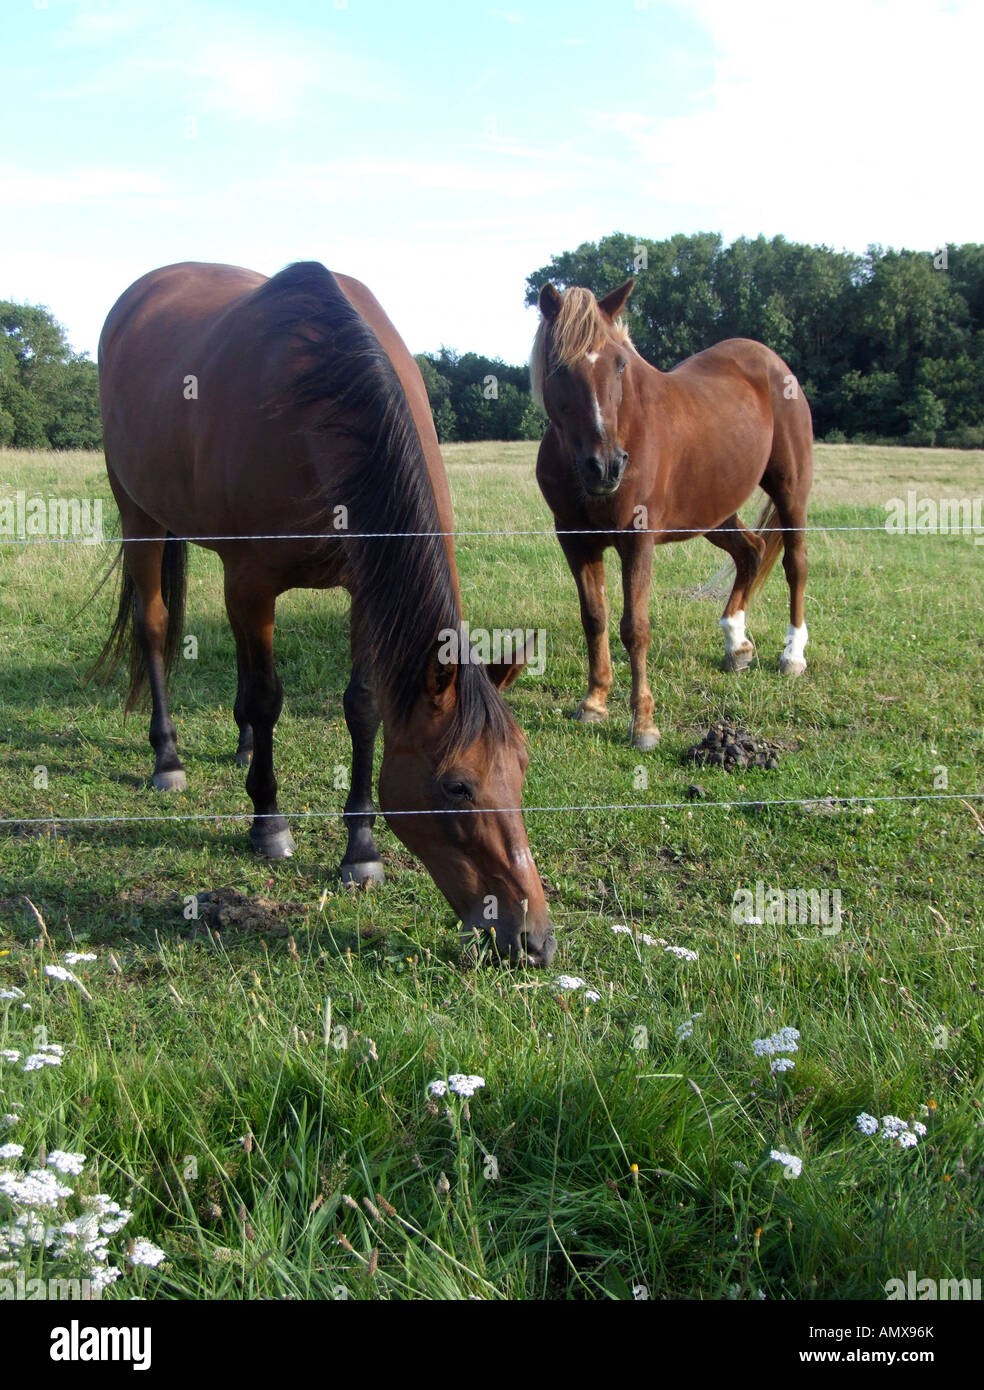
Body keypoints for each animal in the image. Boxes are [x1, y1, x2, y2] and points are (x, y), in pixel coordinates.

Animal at [95, 258, 558, 967]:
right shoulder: (251, 583)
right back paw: (168, 760)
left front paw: (361, 850)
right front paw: (269, 824)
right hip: (138, 515)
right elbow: (267, 696)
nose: (534, 939)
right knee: (153, 627)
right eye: (456, 787)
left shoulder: (364, 591)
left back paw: (242, 750)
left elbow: (363, 707)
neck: (324, 402)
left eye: (524, 767)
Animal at [530, 273, 817, 750]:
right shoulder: (575, 540)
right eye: (560, 367)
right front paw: (594, 702)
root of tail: (771, 361)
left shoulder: (638, 539)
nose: (606, 466)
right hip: (713, 511)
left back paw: (792, 654)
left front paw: (643, 723)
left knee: (795, 564)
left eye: (619, 364)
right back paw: (736, 645)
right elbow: (595, 618)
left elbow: (635, 627)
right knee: (750, 552)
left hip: (791, 492)